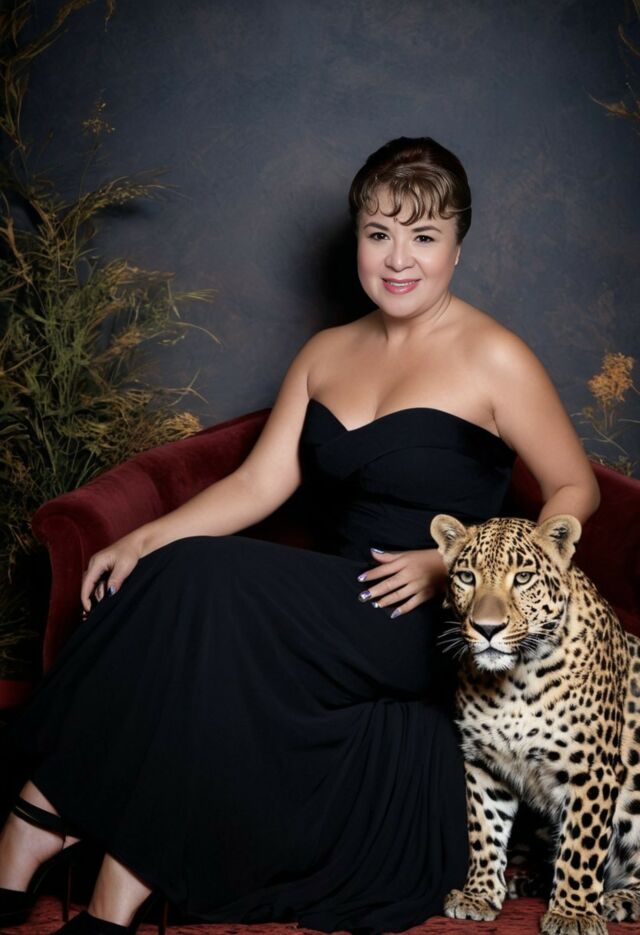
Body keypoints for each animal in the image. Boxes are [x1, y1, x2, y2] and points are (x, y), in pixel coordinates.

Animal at [430, 513, 640, 935]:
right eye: (467, 577)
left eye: (523, 577)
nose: (487, 628)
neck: (517, 681)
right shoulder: (483, 762)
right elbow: (484, 829)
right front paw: (479, 894)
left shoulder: (591, 770)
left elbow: (581, 846)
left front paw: (572, 914)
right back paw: (527, 881)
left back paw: (618, 899)